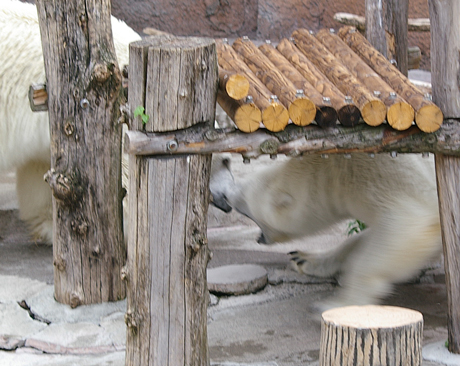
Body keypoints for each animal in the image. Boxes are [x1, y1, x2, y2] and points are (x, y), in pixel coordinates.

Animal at [211, 153, 442, 310]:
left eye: (244, 196)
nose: (226, 195)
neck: (340, 168)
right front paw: (302, 259)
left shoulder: (388, 173)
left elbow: (409, 225)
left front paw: (338, 304)